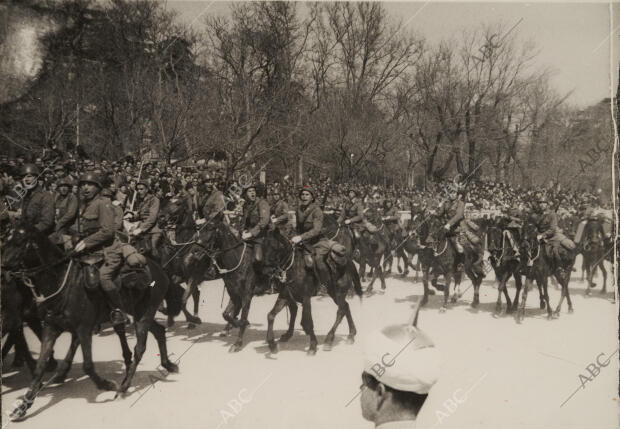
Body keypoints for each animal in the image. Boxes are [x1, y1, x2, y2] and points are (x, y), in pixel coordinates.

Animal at [0, 226, 179, 420]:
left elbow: (87, 366)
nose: (2, 268)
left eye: (18, 242)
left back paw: (124, 387)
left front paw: (108, 385)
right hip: (139, 313)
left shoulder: (84, 329)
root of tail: (159, 269)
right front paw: (23, 407)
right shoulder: (51, 328)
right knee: (159, 331)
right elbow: (40, 366)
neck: (63, 283)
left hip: (145, 315)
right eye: (5, 239)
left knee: (140, 348)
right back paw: (167, 364)